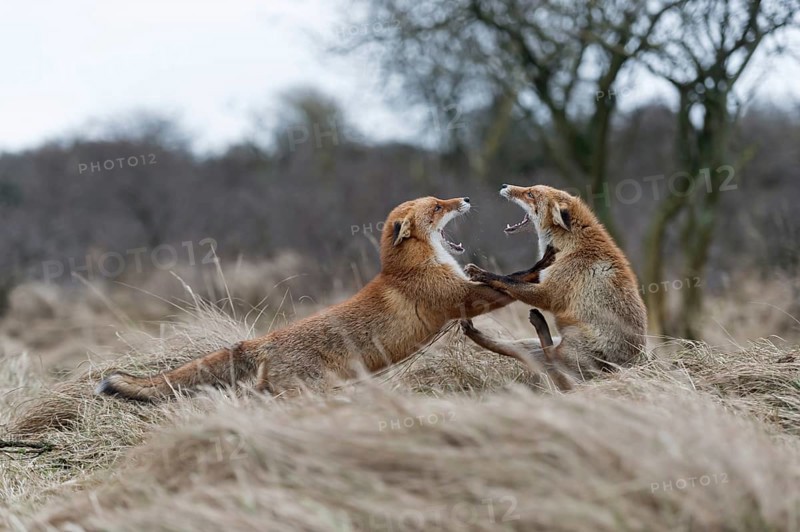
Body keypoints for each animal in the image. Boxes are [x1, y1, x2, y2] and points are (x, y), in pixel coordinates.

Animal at [96, 196, 513, 401]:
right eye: (439, 206)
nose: (465, 197)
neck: (406, 268)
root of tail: (261, 340)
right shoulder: (461, 298)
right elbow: (503, 289)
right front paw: (525, 278)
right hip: (309, 391)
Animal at [461, 184, 647, 384]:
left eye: (530, 194)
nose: (504, 186)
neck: (570, 246)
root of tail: (634, 364)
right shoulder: (543, 277)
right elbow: (517, 275)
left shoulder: (548, 293)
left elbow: (507, 280)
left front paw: (480, 273)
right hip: (530, 346)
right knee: (511, 349)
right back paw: (473, 331)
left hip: (572, 342)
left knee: (552, 357)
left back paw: (540, 324)